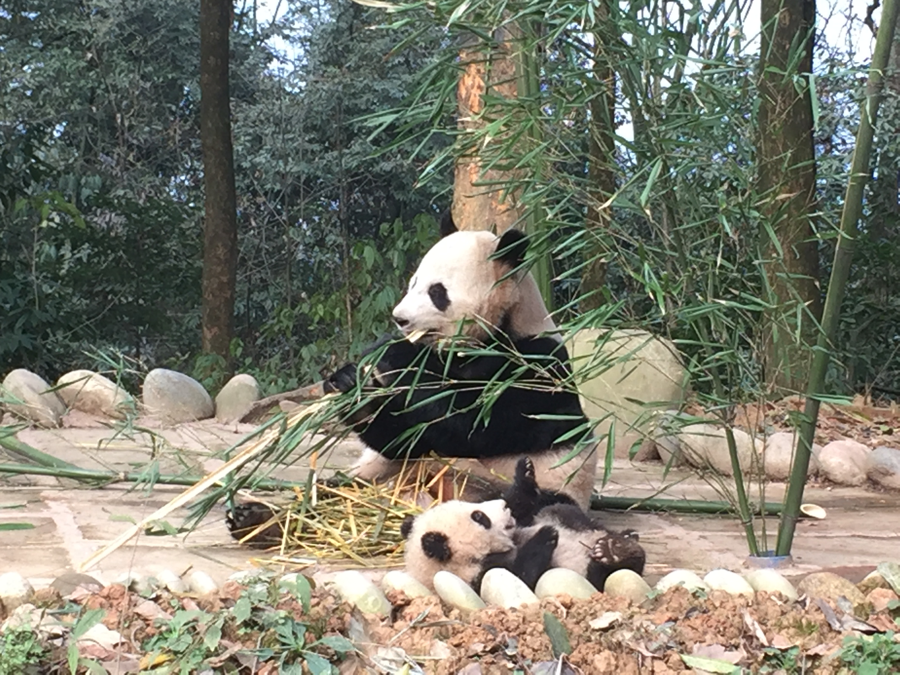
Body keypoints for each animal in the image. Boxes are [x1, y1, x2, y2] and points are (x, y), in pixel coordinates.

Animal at [322, 214, 596, 510]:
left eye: (437, 292)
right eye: (413, 283)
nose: (400, 318)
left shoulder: (534, 369)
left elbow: (472, 424)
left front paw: (392, 354)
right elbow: (403, 438)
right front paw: (349, 383)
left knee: (531, 501)